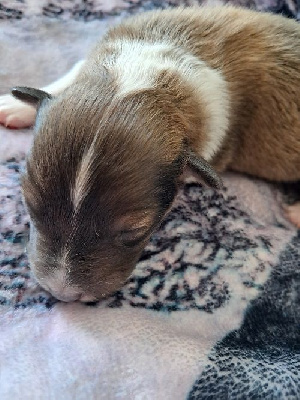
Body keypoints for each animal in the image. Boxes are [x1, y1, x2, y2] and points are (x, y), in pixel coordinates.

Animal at [0, 6, 300, 302]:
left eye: (134, 231)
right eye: (29, 204)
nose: (61, 294)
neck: (146, 77)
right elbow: (73, 71)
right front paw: (15, 103)